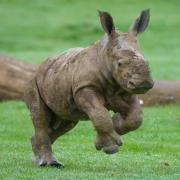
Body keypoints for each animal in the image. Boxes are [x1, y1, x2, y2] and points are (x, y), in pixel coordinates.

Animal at [23, 9, 153, 167]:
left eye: (147, 62)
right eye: (120, 64)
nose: (144, 83)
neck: (105, 55)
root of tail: (40, 66)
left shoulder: (125, 89)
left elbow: (136, 118)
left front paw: (113, 126)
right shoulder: (85, 87)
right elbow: (100, 114)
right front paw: (110, 147)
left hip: (56, 78)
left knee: (67, 121)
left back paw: (40, 159)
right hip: (34, 81)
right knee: (40, 116)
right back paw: (49, 163)